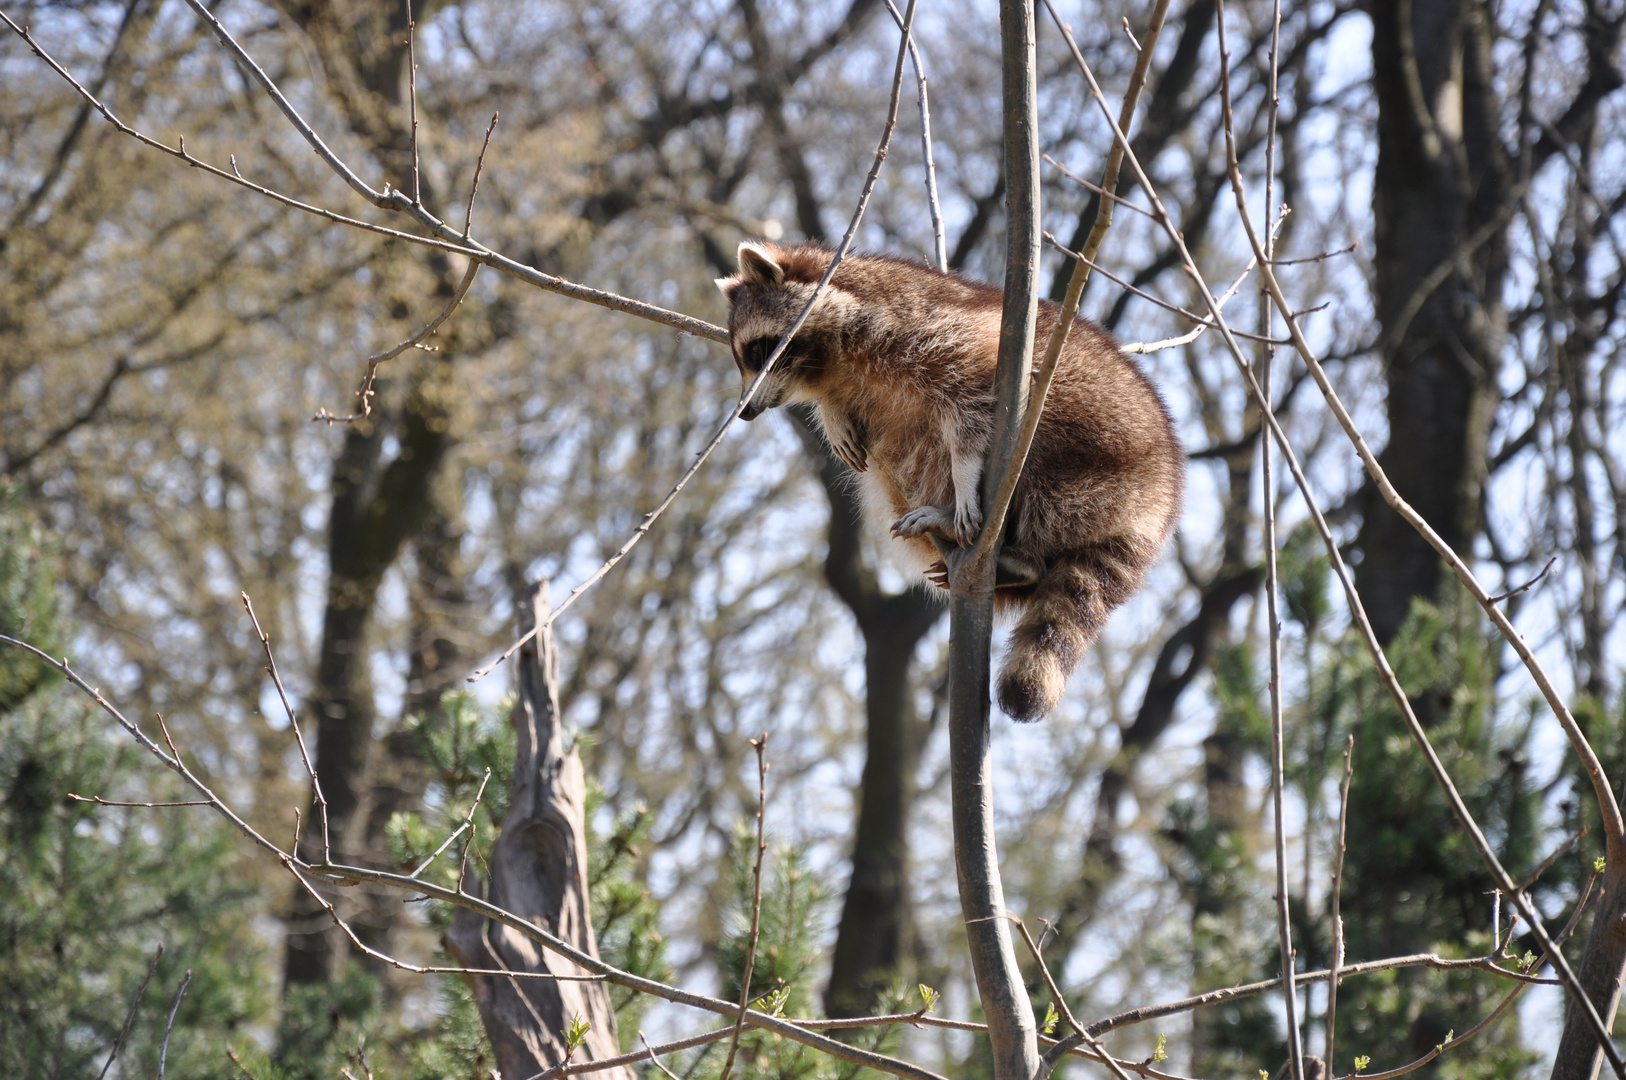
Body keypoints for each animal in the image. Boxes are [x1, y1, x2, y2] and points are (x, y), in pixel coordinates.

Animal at [718, 240, 1190, 722]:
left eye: (758, 351)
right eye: (741, 356)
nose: (745, 412)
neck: (826, 361)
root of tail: (1157, 508)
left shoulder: (934, 332)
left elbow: (969, 408)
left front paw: (965, 472)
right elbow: (841, 409)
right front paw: (831, 414)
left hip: (1092, 450)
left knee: (1035, 460)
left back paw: (1017, 552)